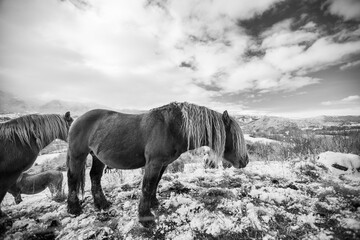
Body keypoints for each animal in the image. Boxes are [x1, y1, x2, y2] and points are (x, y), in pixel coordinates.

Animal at [66, 101, 249, 227]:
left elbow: (154, 184)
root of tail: (76, 120)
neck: (171, 128)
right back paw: (74, 209)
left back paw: (102, 204)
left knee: (95, 177)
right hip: (77, 155)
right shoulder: (153, 163)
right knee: (72, 178)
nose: (245, 160)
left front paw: (153, 203)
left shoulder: (163, 164)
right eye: (234, 136)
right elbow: (147, 186)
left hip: (97, 158)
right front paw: (145, 217)